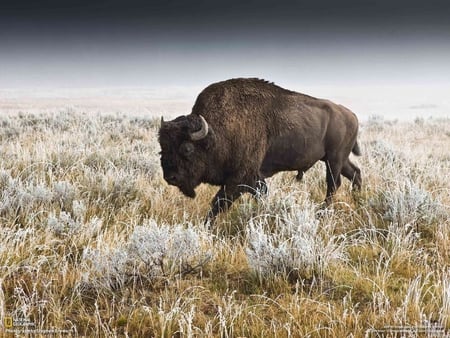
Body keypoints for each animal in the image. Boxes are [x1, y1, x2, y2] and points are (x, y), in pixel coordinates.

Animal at [158, 78, 362, 223]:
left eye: (187, 148)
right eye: (162, 148)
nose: (170, 177)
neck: (217, 132)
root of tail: (352, 115)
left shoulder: (239, 179)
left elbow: (219, 203)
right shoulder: (254, 179)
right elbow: (259, 195)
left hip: (334, 159)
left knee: (333, 184)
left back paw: (323, 212)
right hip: (336, 159)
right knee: (355, 173)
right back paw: (358, 201)